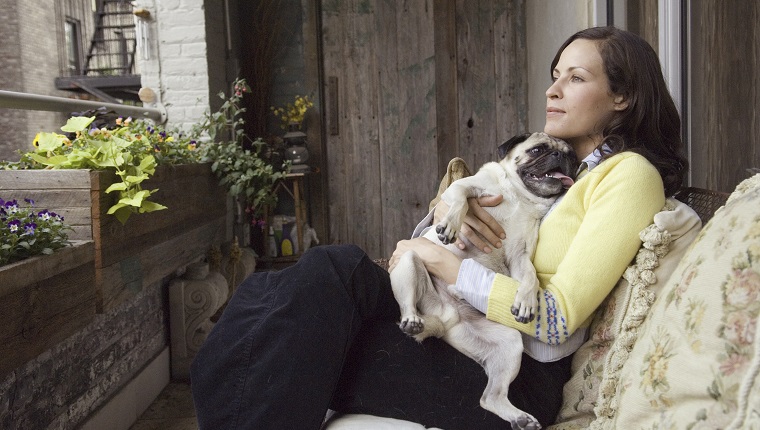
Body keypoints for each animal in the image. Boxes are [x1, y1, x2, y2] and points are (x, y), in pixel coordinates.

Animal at [388, 133, 580, 428]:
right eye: (538, 150)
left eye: (571, 155)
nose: (561, 156)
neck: (521, 198)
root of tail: (445, 318)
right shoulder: (464, 187)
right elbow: (462, 201)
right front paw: (450, 226)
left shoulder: (520, 256)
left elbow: (531, 277)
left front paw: (526, 302)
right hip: (409, 261)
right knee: (407, 304)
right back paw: (411, 320)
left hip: (509, 345)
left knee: (490, 398)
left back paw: (520, 418)